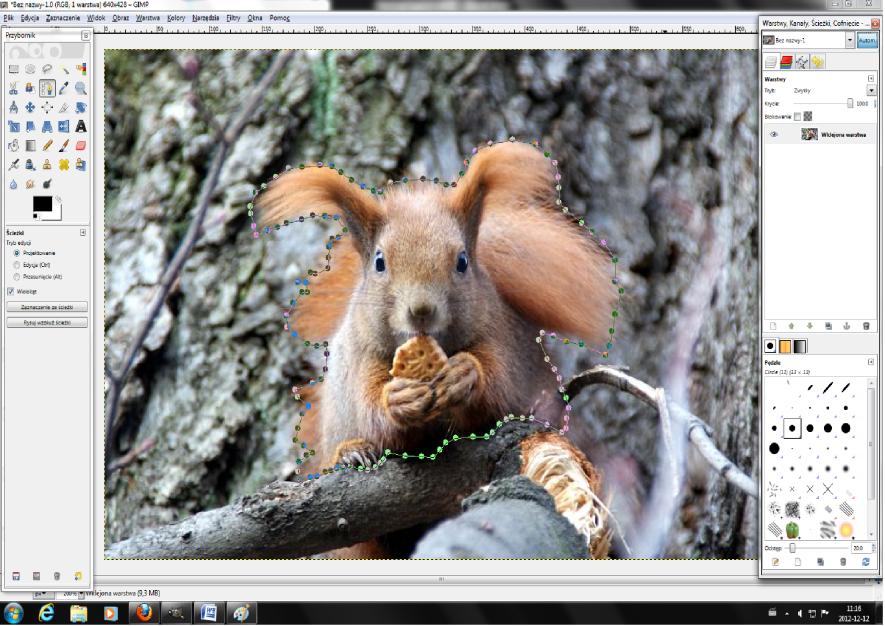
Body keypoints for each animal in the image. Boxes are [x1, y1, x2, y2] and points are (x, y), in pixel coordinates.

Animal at [258, 139, 616, 482]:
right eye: (379, 262)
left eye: (462, 261)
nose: (421, 310)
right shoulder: (364, 355)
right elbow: (373, 411)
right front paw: (398, 398)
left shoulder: (501, 339)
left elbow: (498, 390)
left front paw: (466, 374)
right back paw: (351, 451)